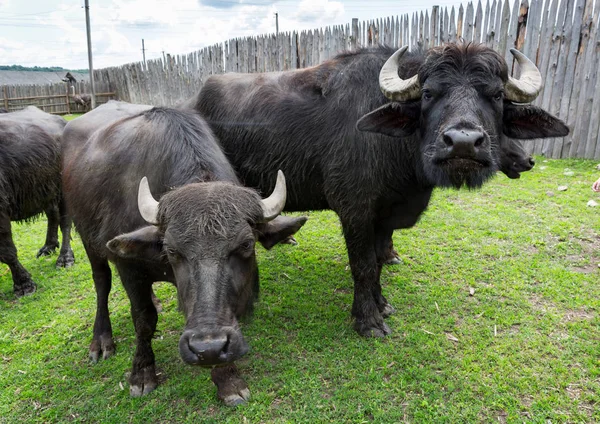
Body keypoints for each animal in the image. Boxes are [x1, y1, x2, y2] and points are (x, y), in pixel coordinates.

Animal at [0, 107, 74, 296]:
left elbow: (7, 252)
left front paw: (23, 284)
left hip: (62, 187)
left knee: (65, 221)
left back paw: (65, 257)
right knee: (53, 215)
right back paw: (49, 246)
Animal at [61, 104, 308, 406]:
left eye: (247, 244)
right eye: (171, 249)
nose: (207, 348)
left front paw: (228, 380)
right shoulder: (129, 267)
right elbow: (143, 320)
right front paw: (142, 374)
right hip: (86, 237)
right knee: (101, 282)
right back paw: (101, 341)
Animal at [186, 42, 568, 338]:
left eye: (497, 96)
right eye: (428, 94)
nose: (462, 142)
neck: (396, 153)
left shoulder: (385, 216)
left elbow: (380, 261)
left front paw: (381, 303)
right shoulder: (354, 210)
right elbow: (364, 265)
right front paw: (367, 320)